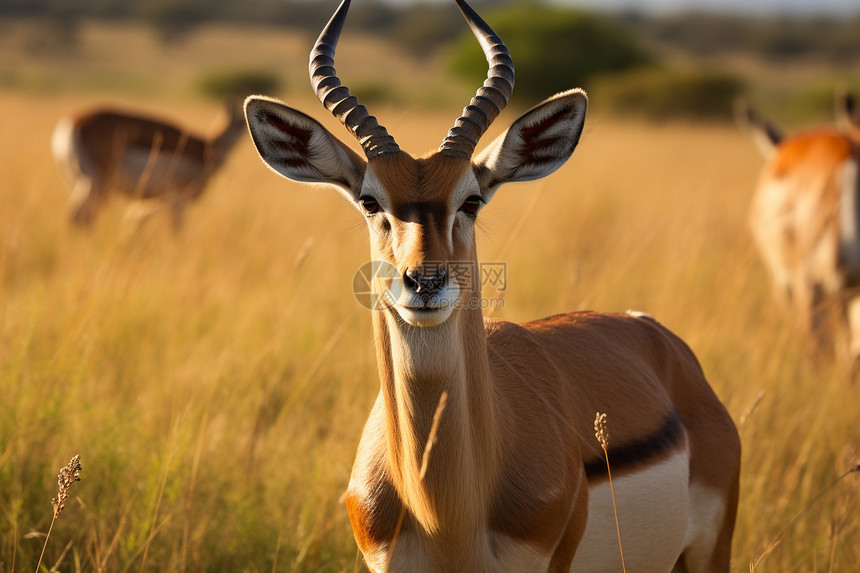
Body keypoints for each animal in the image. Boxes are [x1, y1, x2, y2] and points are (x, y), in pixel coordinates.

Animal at [52, 100, 244, 230]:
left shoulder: (150, 201)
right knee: (80, 217)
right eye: (241, 123)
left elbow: (134, 222)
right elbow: (178, 231)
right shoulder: (177, 200)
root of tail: (71, 123)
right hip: (97, 186)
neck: (207, 147)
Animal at [245, 2, 744, 568]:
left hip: (710, 550)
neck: (446, 515)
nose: (425, 282)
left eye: (472, 200)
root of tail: (662, 338)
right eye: (370, 201)